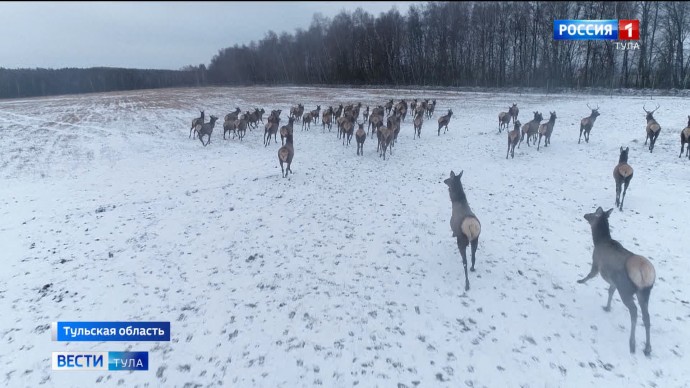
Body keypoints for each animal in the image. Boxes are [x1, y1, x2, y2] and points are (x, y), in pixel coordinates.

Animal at [572, 208, 652, 356]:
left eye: (593, 213)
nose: (585, 214)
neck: (598, 241)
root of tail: (644, 272)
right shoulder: (613, 282)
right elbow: (610, 291)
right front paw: (607, 307)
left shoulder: (596, 263)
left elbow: (590, 275)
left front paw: (580, 280)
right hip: (644, 293)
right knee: (646, 316)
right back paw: (647, 348)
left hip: (625, 290)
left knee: (634, 311)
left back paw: (632, 344)